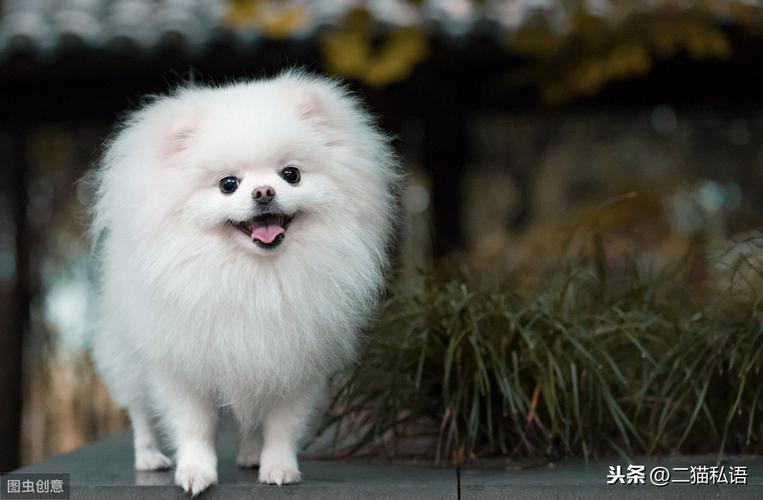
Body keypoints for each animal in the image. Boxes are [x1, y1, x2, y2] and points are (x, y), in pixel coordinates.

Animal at [88, 71, 400, 496]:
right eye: (228, 184)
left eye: (291, 174)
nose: (264, 192)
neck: (253, 275)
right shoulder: (182, 362)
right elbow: (194, 426)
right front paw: (195, 473)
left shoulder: (292, 361)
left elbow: (281, 425)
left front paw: (278, 467)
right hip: (125, 353)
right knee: (139, 411)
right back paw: (149, 457)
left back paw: (251, 454)